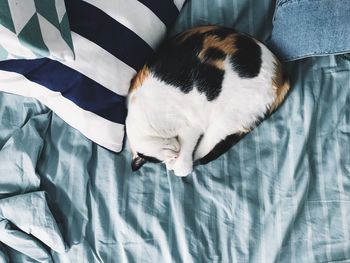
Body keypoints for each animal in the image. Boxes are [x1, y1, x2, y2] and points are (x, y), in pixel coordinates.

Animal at [126, 25, 290, 177]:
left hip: (227, 117)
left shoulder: (190, 126)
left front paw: (180, 166)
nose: (174, 156)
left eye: (159, 158)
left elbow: (183, 163)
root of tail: (279, 73)